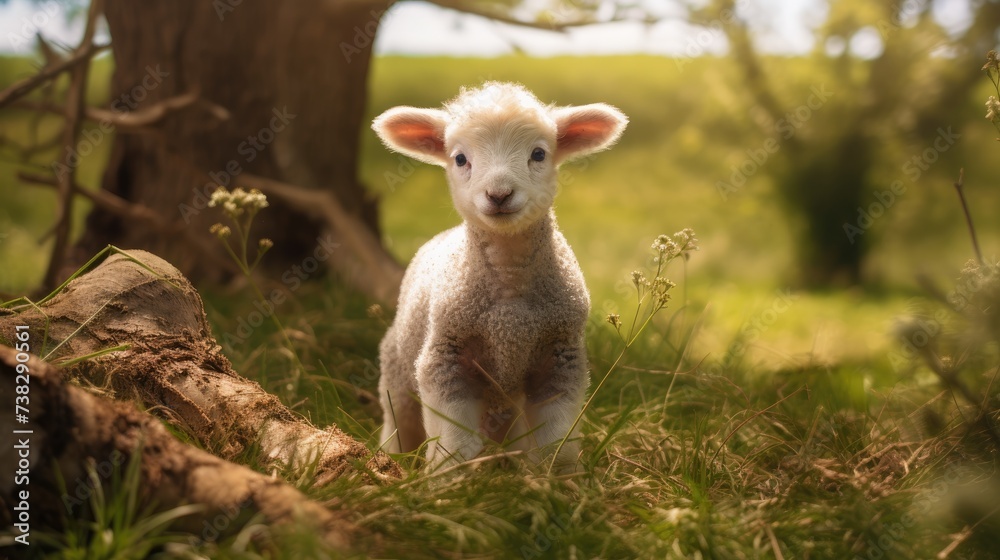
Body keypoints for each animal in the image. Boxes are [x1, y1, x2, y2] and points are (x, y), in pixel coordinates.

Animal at [372, 82, 628, 468]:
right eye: (460, 159)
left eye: (538, 154)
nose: (499, 194)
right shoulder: (445, 358)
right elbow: (455, 438)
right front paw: (449, 475)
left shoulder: (561, 360)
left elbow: (556, 442)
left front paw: (559, 478)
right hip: (398, 366)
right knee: (399, 419)